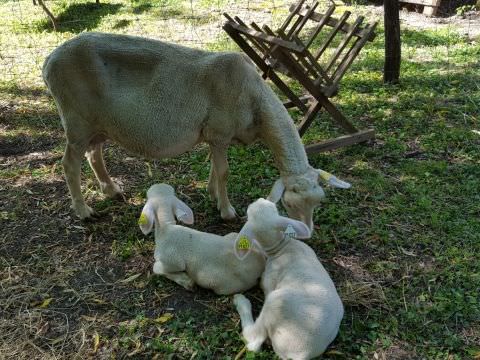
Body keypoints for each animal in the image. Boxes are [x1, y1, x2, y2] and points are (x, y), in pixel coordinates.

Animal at [43, 31, 350, 228]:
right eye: (291, 204)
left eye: (318, 202)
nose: (307, 234)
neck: (255, 100)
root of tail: (49, 60)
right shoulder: (219, 132)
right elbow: (224, 171)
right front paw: (227, 211)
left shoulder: (215, 136)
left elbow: (215, 167)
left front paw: (213, 195)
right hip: (77, 120)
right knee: (69, 164)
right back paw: (84, 212)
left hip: (98, 123)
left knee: (94, 154)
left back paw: (111, 190)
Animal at [233, 198, 344, 358]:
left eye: (273, 207)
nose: (261, 199)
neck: (281, 247)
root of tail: (301, 354)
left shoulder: (268, 281)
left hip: (275, 302)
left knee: (254, 343)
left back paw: (241, 302)